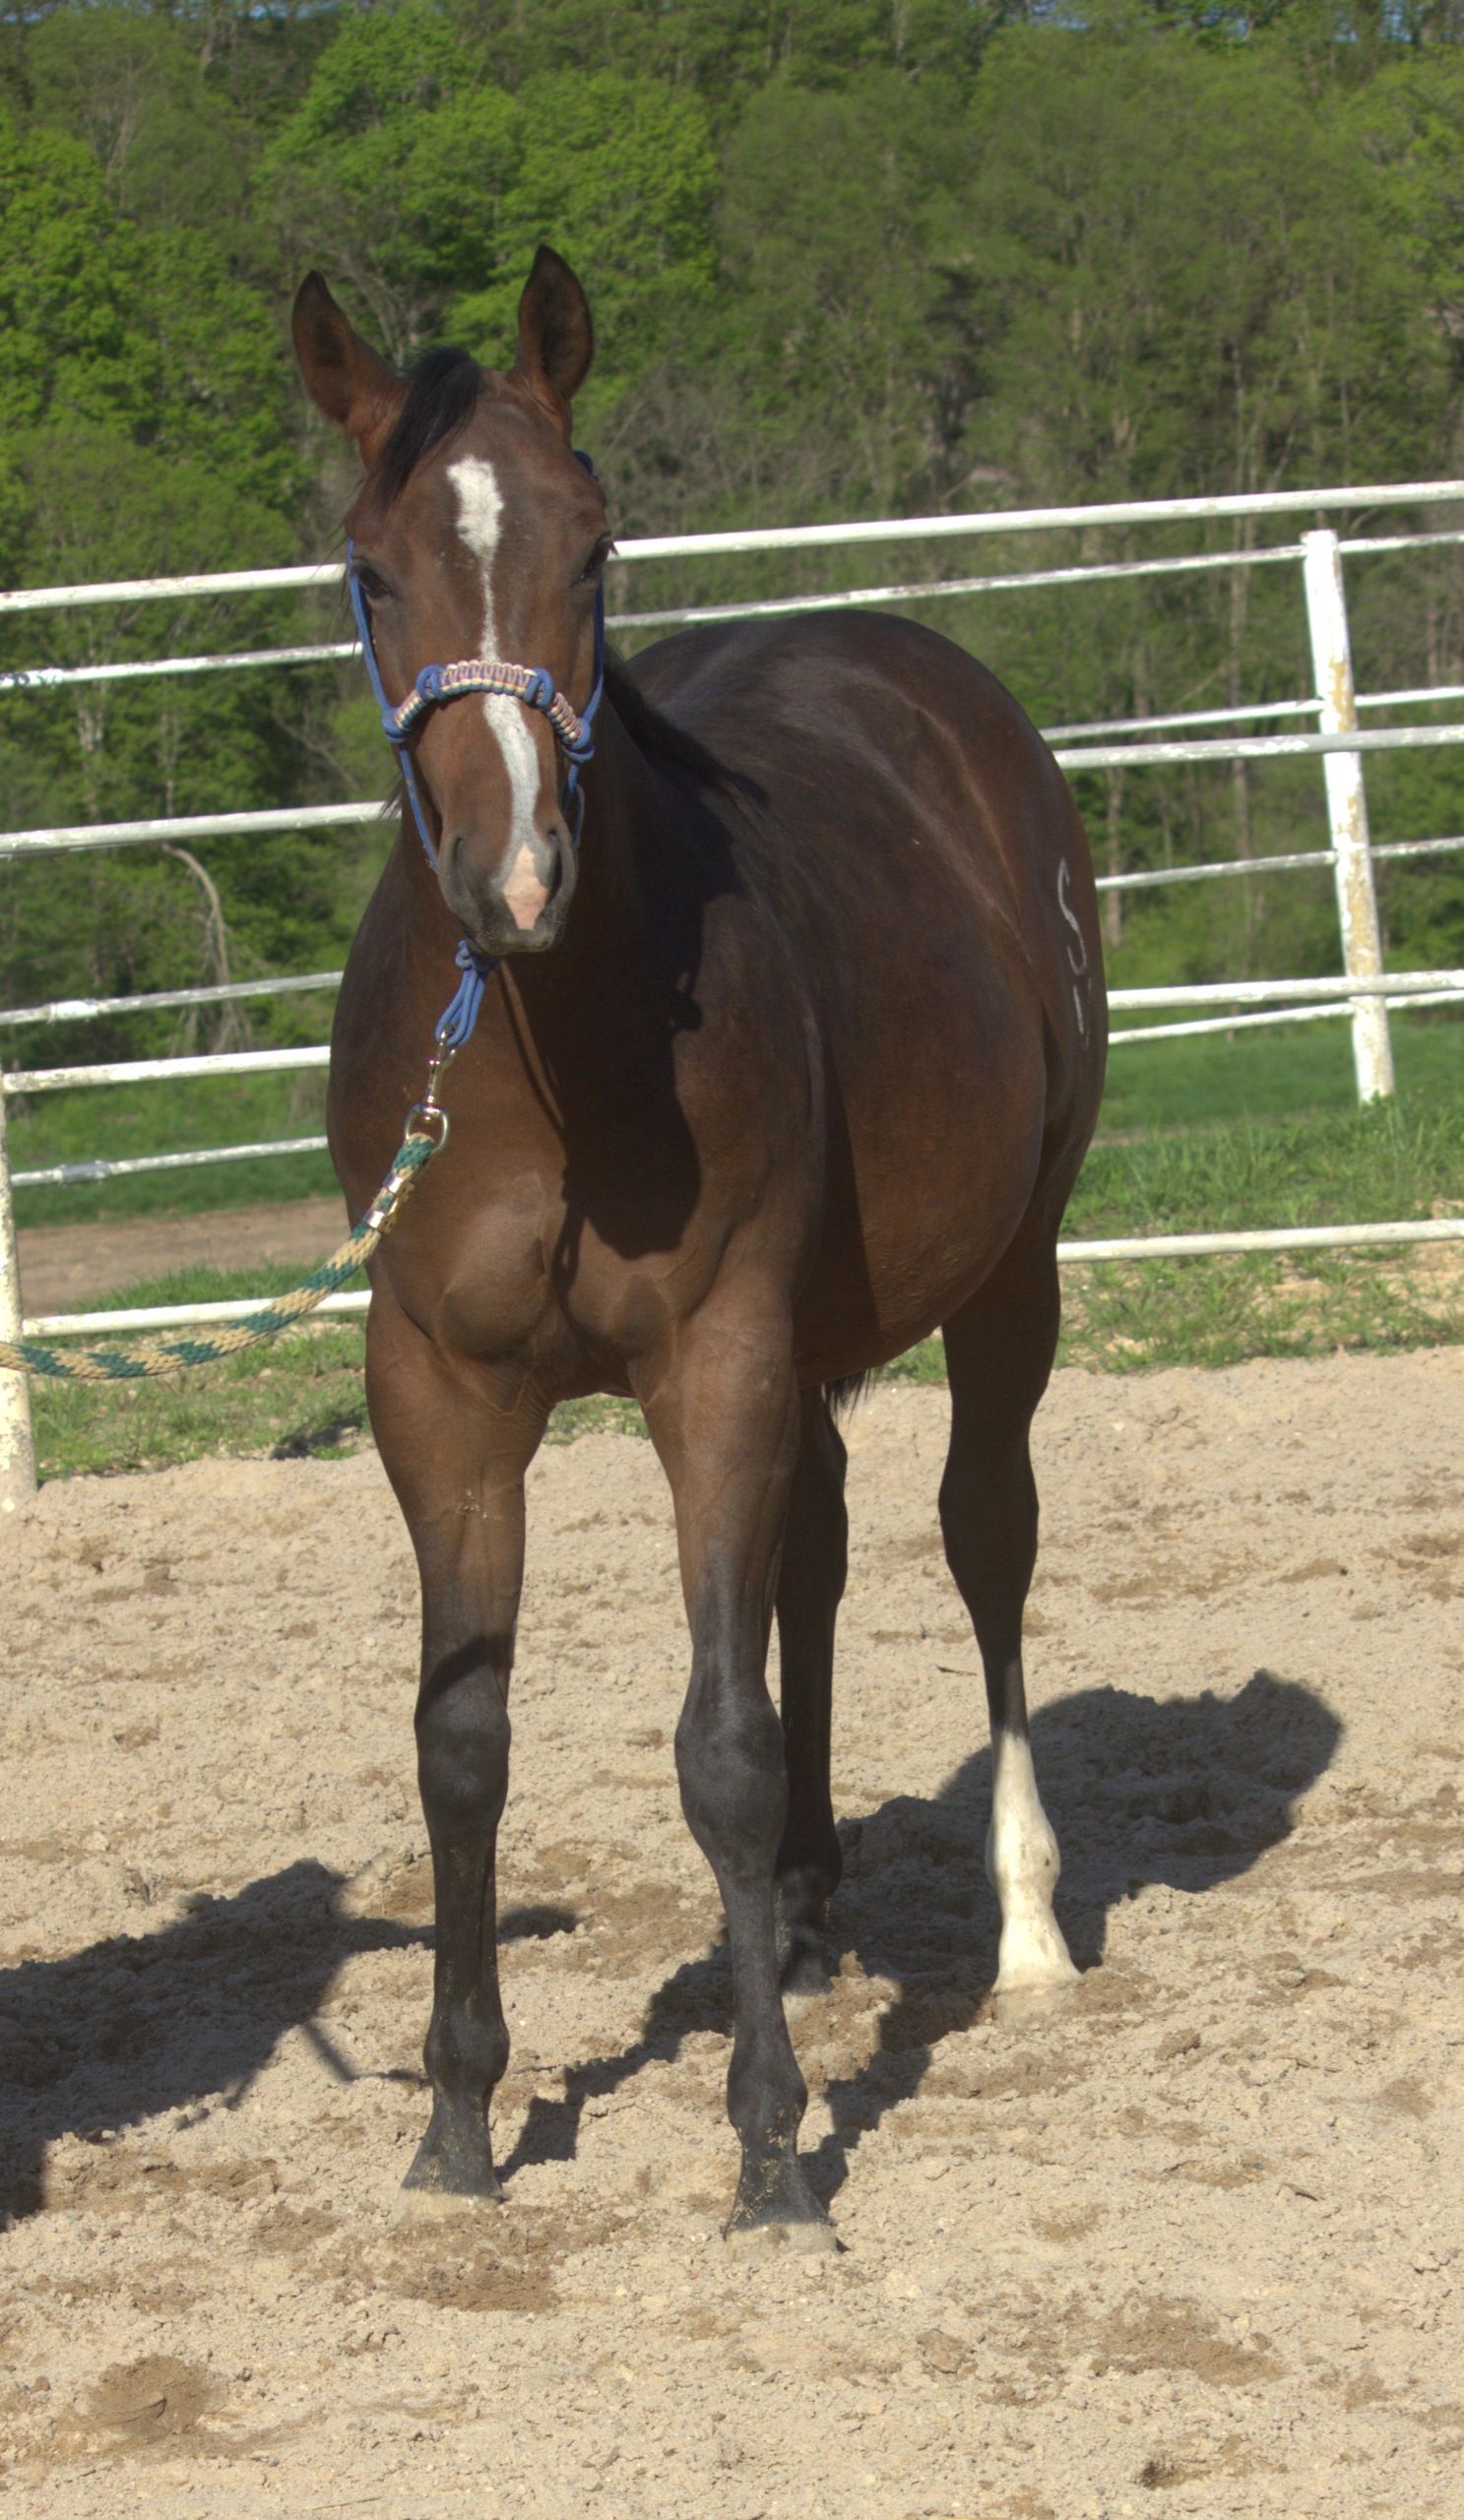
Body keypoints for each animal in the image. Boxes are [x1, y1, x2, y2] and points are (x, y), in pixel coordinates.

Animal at [291, 245, 1106, 2246]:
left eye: (593, 550)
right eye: (370, 569)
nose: (513, 875)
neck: (539, 1055)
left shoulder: (712, 1356)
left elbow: (717, 1749)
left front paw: (768, 2149)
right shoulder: (437, 1393)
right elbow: (460, 1745)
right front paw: (457, 2121)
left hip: (1009, 1273)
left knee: (983, 1540)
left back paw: (1025, 1926)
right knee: (815, 1545)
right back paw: (804, 1923)